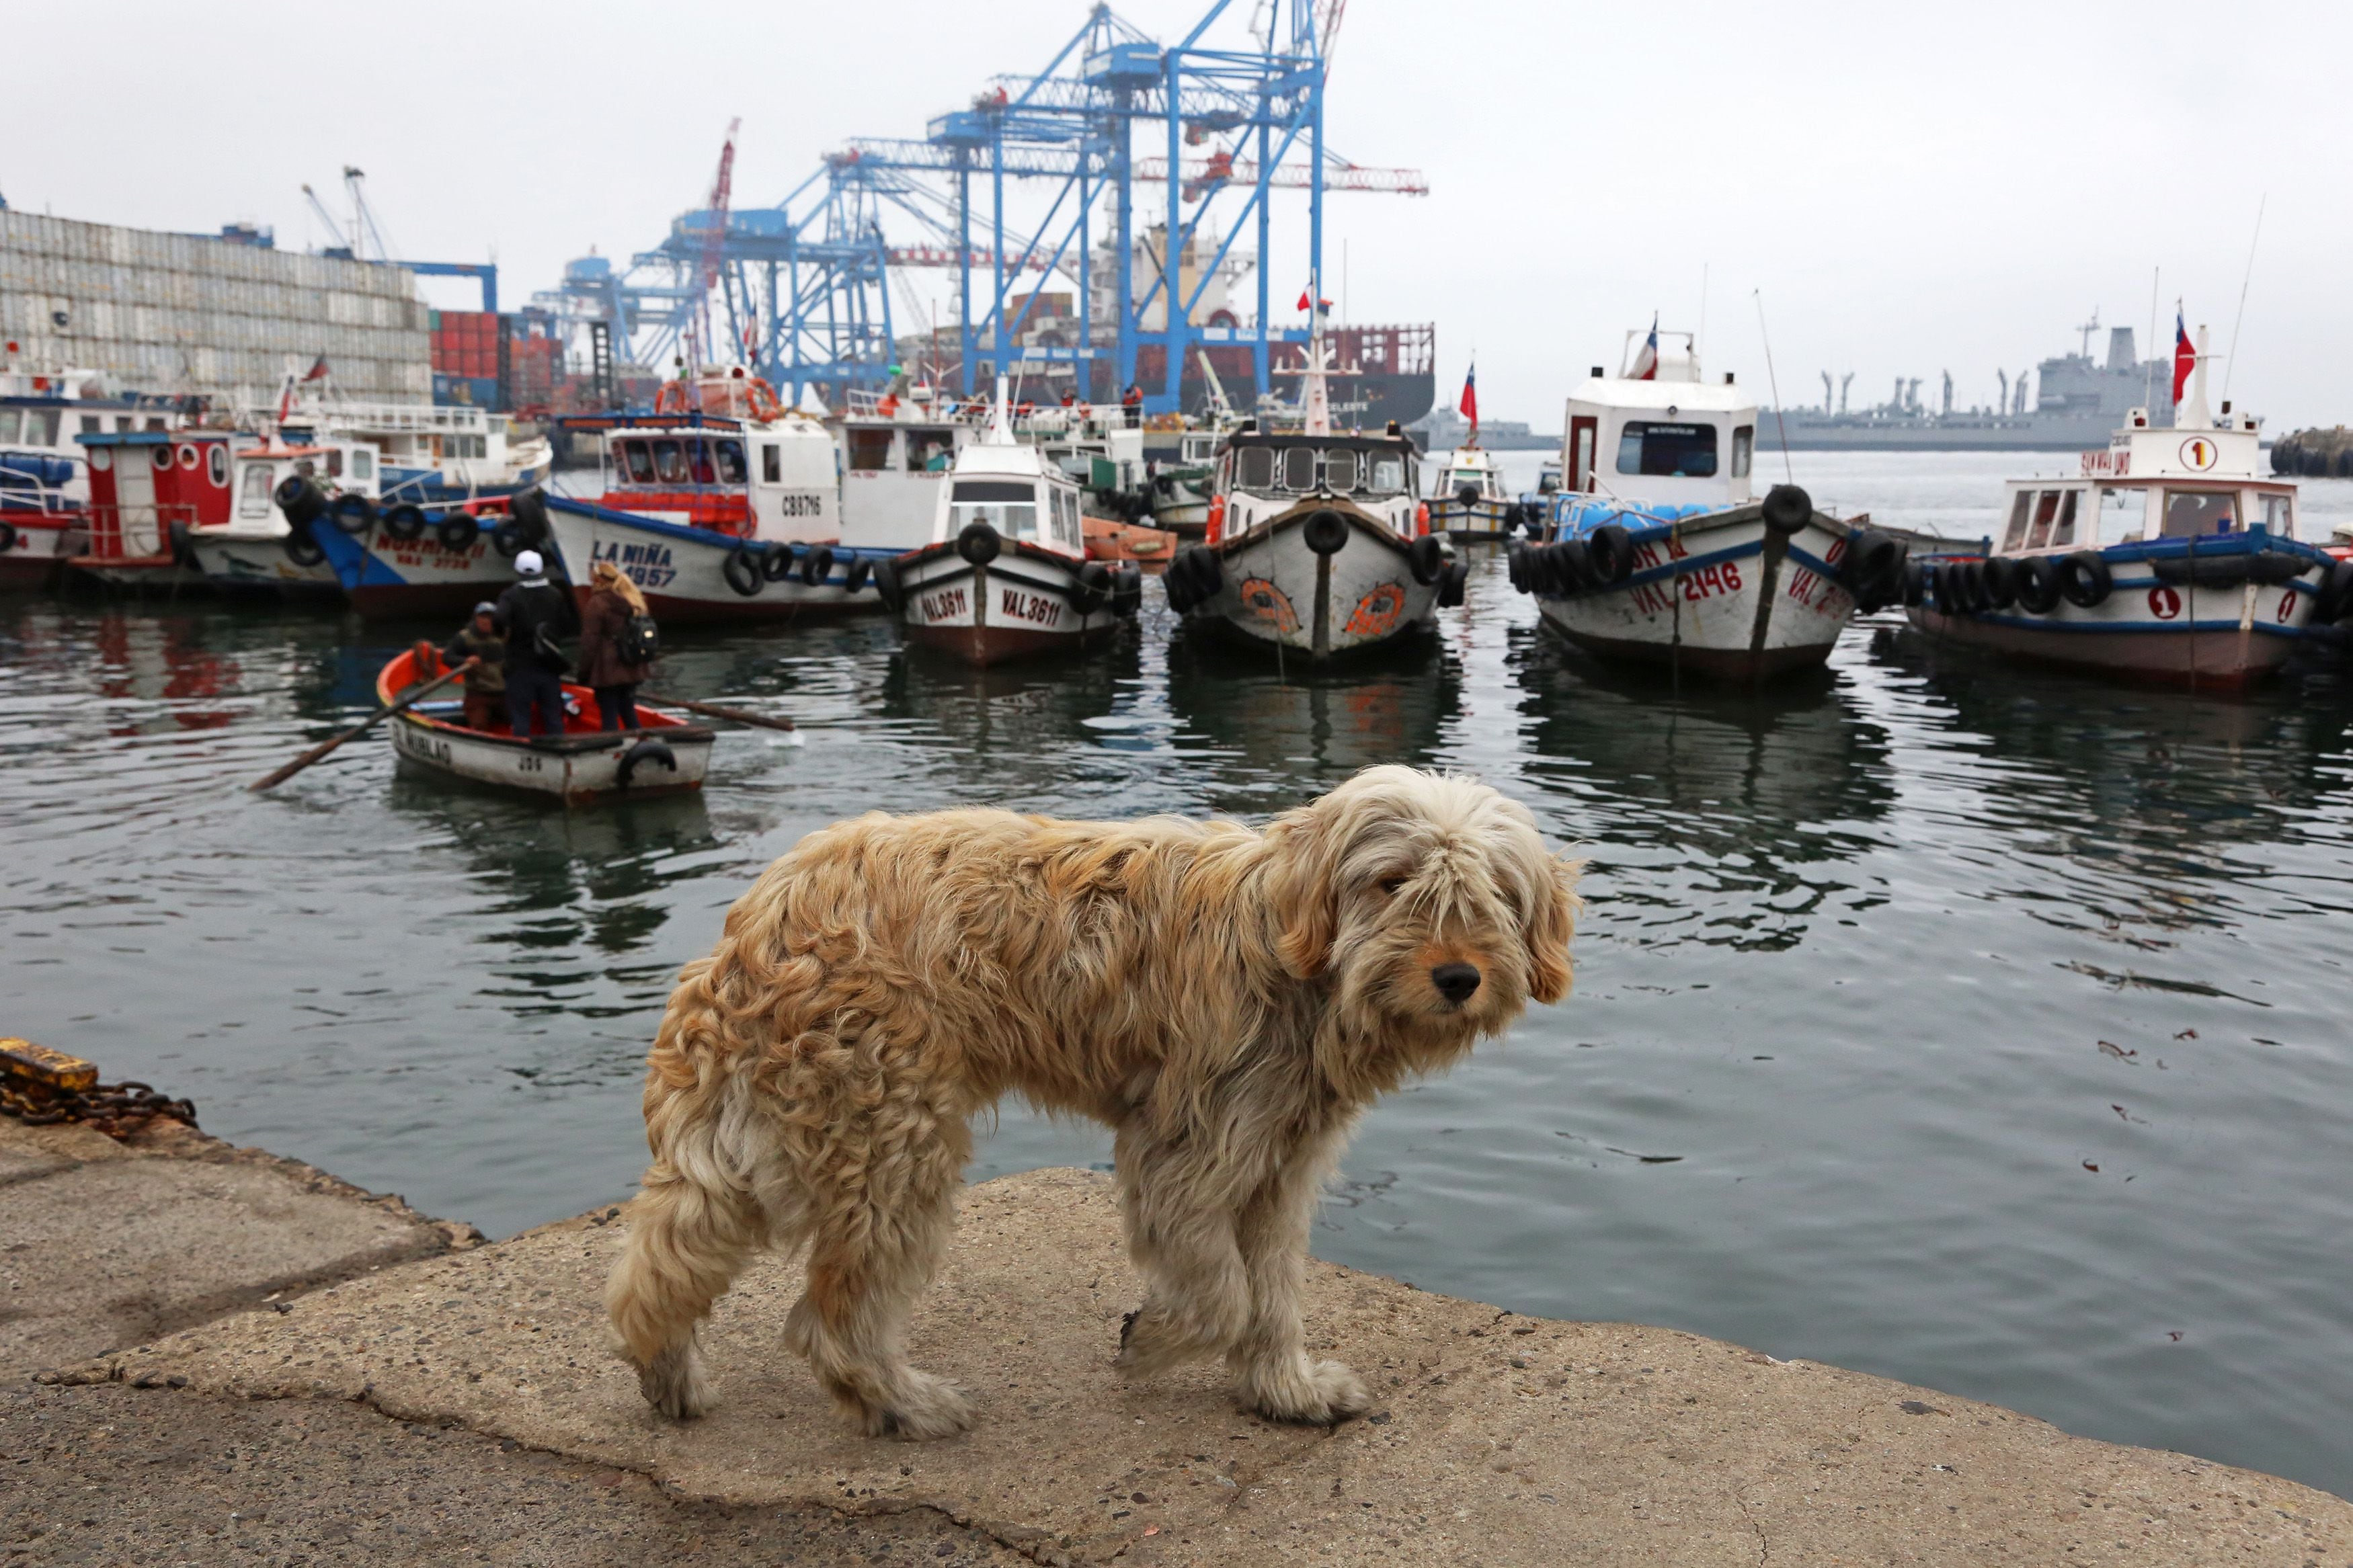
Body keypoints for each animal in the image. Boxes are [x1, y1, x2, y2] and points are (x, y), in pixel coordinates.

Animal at [602, 766, 1581, 1438]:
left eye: (1497, 892)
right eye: (1391, 882)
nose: (1458, 976)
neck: (1293, 959)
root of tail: (755, 919)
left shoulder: (1281, 1158)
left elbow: (1269, 1288)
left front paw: (1284, 1387)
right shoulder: (1186, 1148)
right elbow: (1222, 1293)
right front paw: (1151, 1341)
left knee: (664, 1256)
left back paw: (667, 1371)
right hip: (888, 1135)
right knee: (831, 1319)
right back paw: (903, 1404)